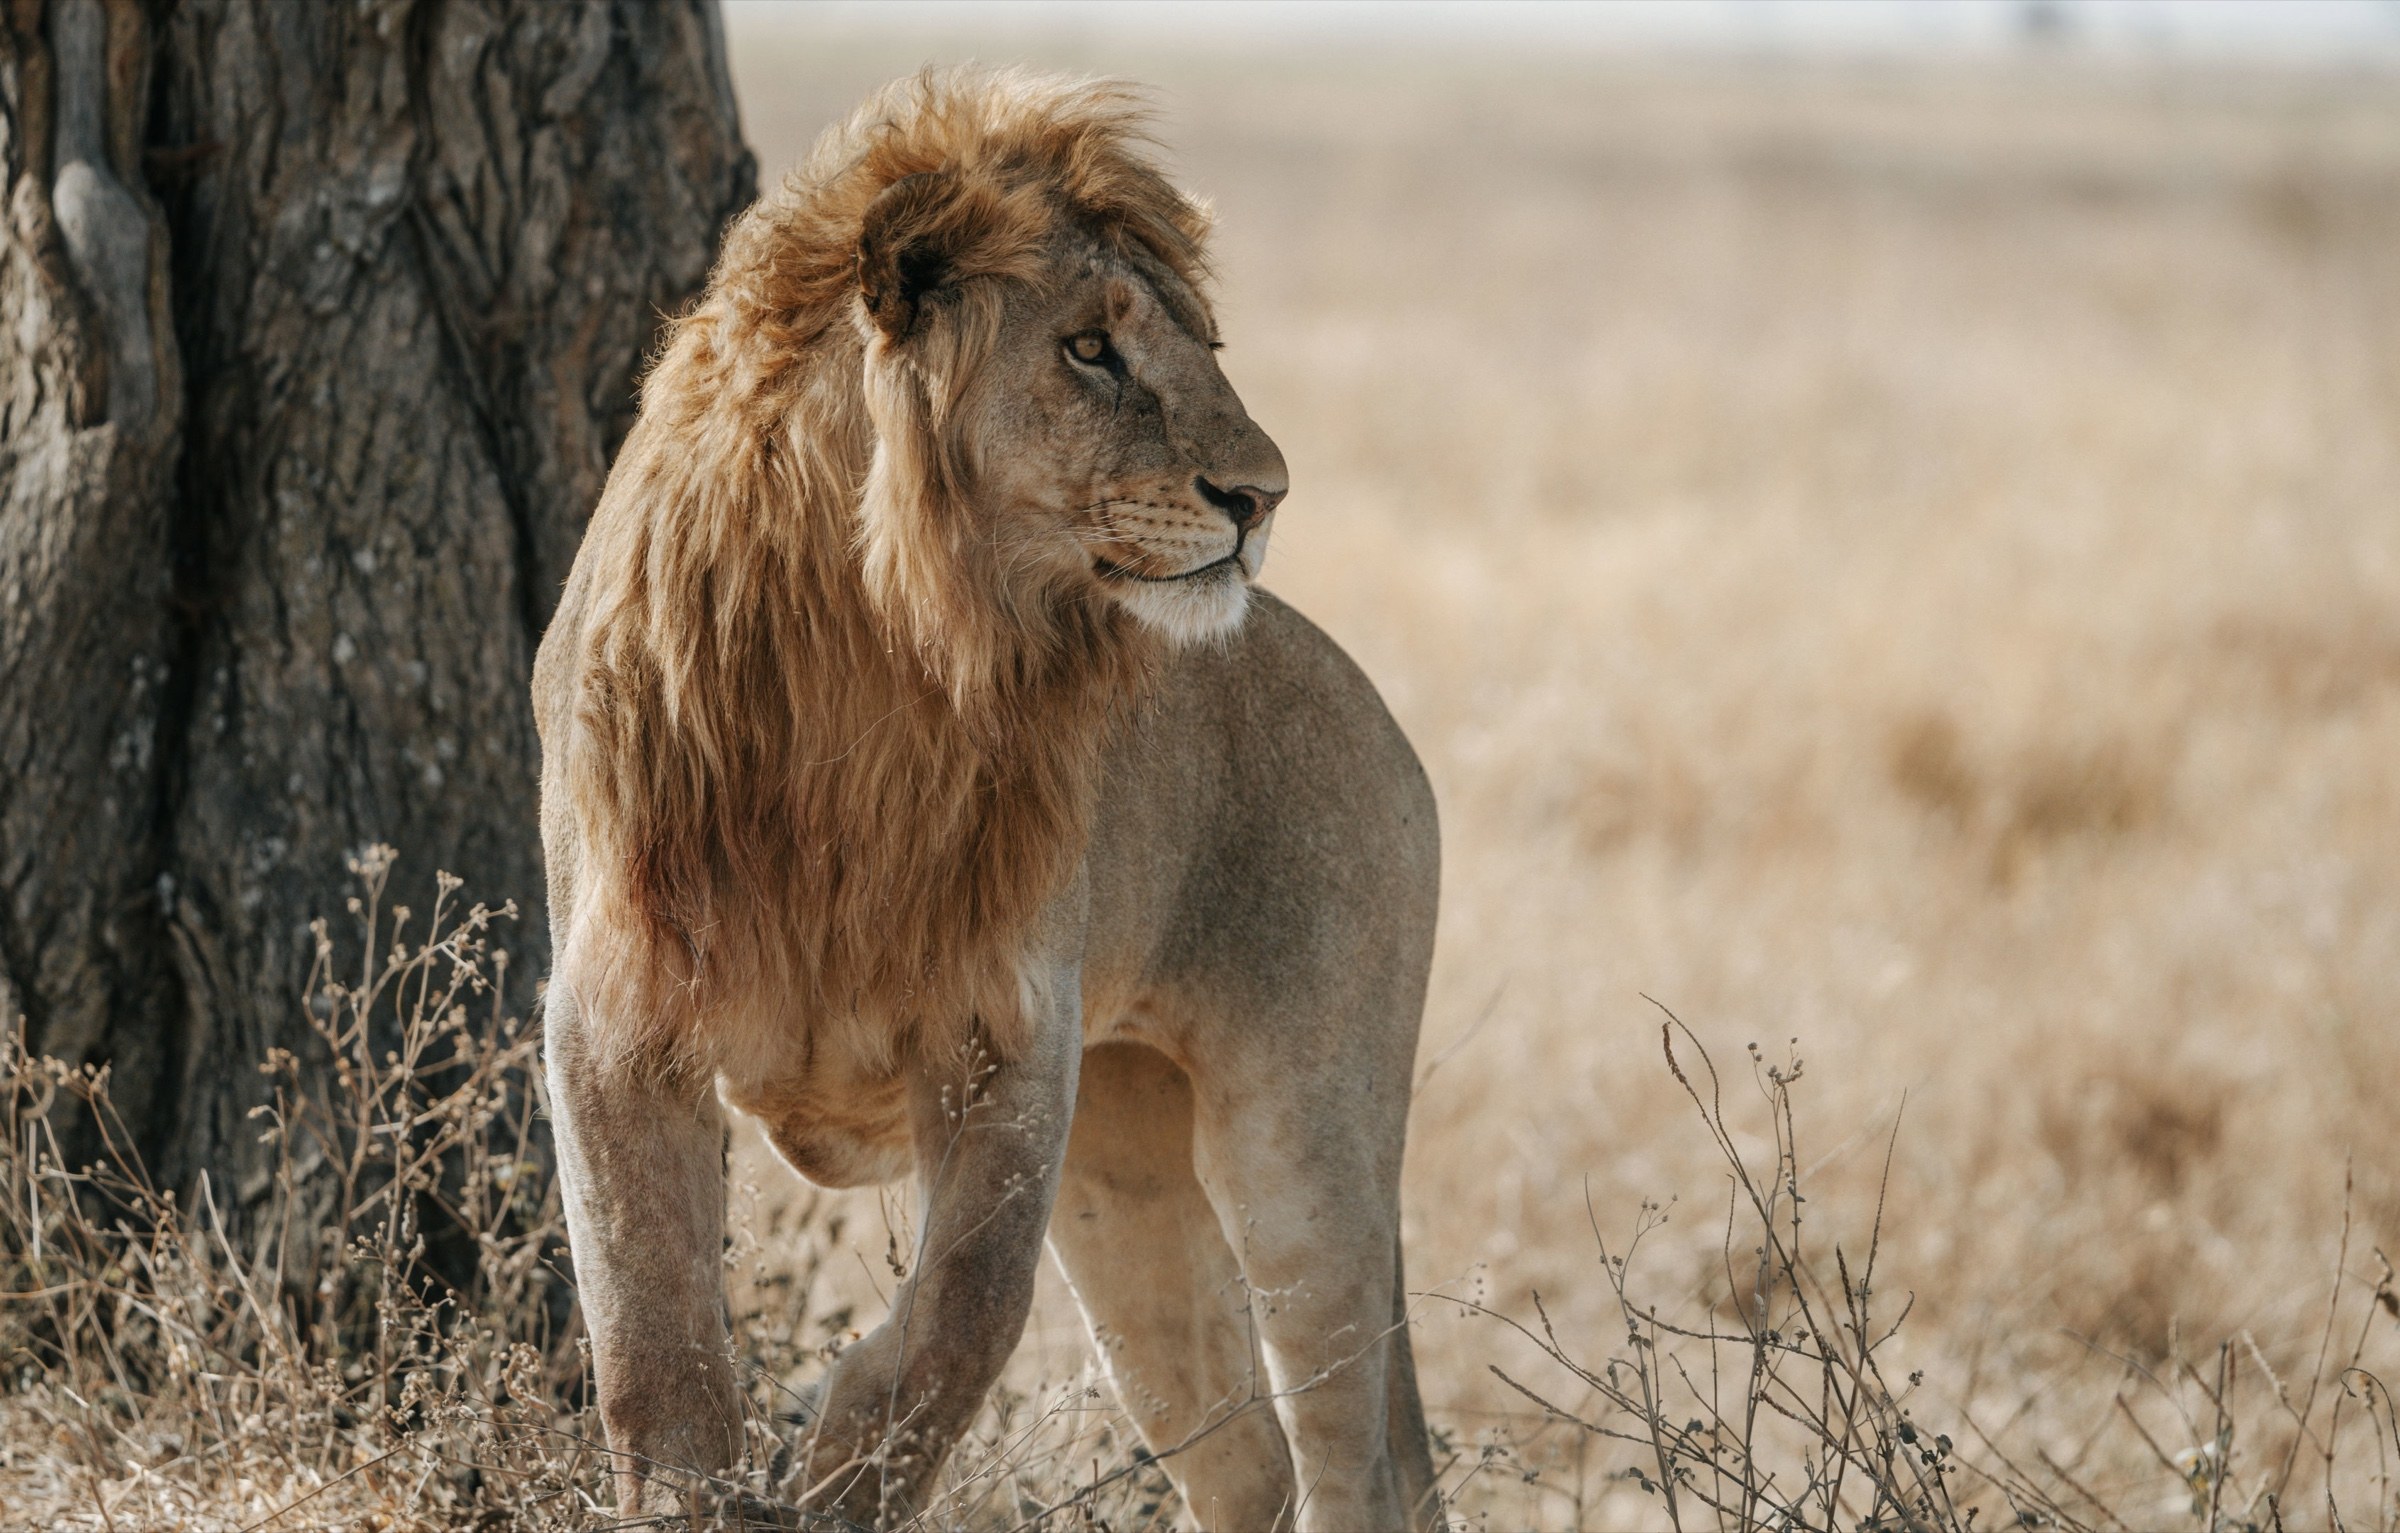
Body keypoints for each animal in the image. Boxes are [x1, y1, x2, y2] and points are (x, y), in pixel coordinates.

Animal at [532, 68, 1442, 1532]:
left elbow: (958, 1324)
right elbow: (648, 1338)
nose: (1264, 496)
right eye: (1090, 350)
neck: (872, 658)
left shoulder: (1007, 1027)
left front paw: (838, 1476)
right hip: (1127, 1168)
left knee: (1354, 1460)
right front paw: (708, 1489)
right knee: (1243, 1458)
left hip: (1305, 1138)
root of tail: (1375, 707)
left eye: (1205, 344)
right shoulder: (618, 1010)